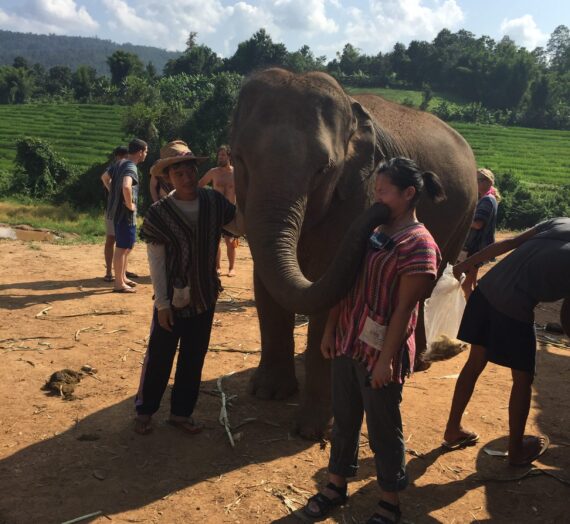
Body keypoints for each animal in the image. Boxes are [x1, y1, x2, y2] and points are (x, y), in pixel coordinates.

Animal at [229, 68, 478, 438]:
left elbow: (330, 299)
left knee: (424, 289)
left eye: (324, 168)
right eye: (238, 158)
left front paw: (312, 429)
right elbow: (266, 286)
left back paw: (417, 363)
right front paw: (268, 393)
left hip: (465, 215)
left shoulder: (356, 195)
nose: (387, 206)